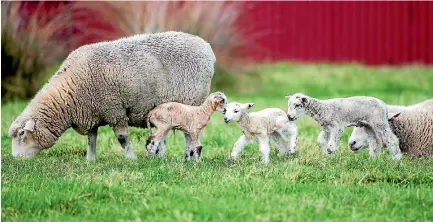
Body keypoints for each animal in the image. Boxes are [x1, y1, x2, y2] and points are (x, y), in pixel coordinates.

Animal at [6, 30, 216, 160]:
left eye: (22, 133)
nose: (16, 159)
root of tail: (206, 48)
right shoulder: (91, 113)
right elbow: (91, 139)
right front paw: (90, 160)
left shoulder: (114, 110)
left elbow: (122, 138)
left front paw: (131, 159)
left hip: (191, 103)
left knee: (189, 134)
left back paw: (188, 157)